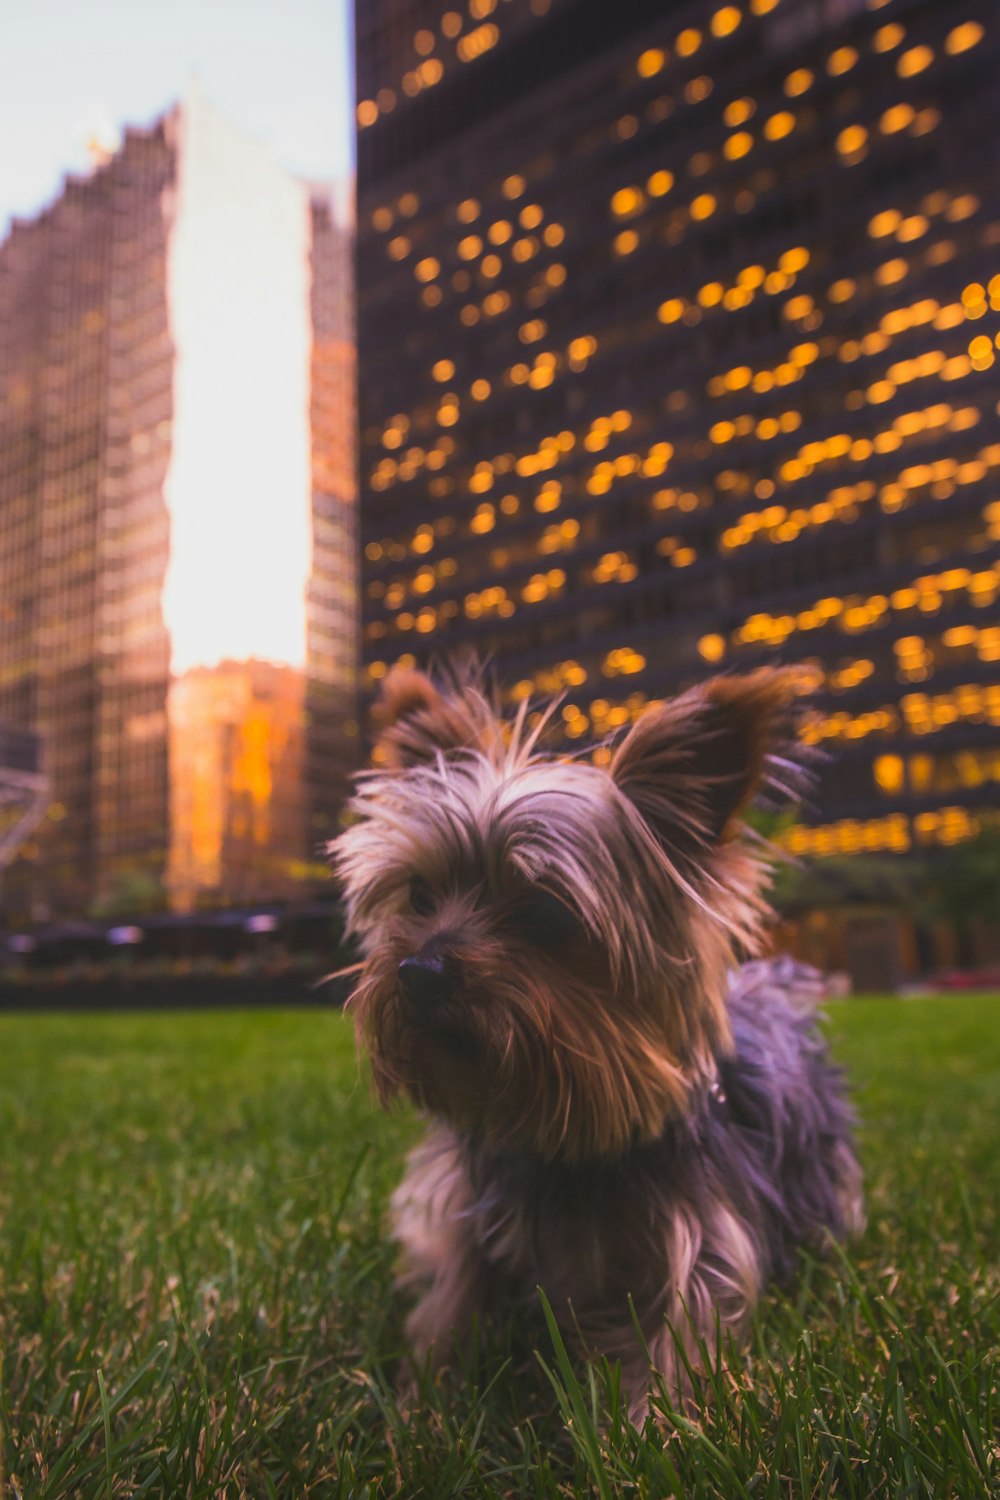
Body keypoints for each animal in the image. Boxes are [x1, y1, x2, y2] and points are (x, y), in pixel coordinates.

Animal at [332, 663, 863, 1410]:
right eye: (418, 894)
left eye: (546, 912)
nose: (418, 972)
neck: (563, 1146)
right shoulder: (465, 1210)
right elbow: (452, 1300)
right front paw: (422, 1399)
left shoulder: (703, 1237)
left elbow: (680, 1342)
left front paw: (650, 1428)